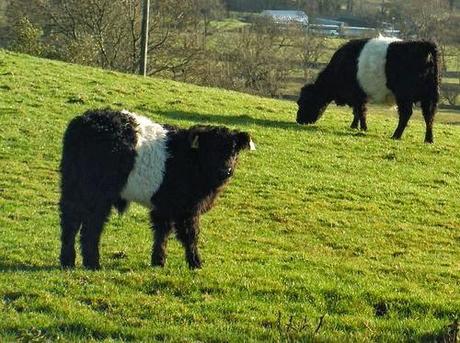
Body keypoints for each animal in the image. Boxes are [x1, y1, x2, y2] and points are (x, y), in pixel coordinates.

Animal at [58, 109, 255, 270]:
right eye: (212, 149)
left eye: (234, 150)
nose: (226, 170)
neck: (192, 160)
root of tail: (83, 121)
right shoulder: (186, 209)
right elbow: (190, 235)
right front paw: (195, 263)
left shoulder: (164, 207)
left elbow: (161, 232)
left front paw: (158, 261)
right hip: (97, 193)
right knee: (90, 227)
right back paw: (92, 263)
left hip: (73, 186)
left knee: (70, 222)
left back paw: (68, 261)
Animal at [296, 37, 440, 144]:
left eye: (304, 102)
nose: (299, 120)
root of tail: (425, 44)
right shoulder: (358, 96)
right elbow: (356, 112)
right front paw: (354, 126)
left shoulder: (357, 94)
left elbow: (361, 111)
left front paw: (363, 128)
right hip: (430, 97)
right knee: (429, 116)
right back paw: (428, 140)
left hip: (404, 96)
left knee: (406, 114)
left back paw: (396, 135)